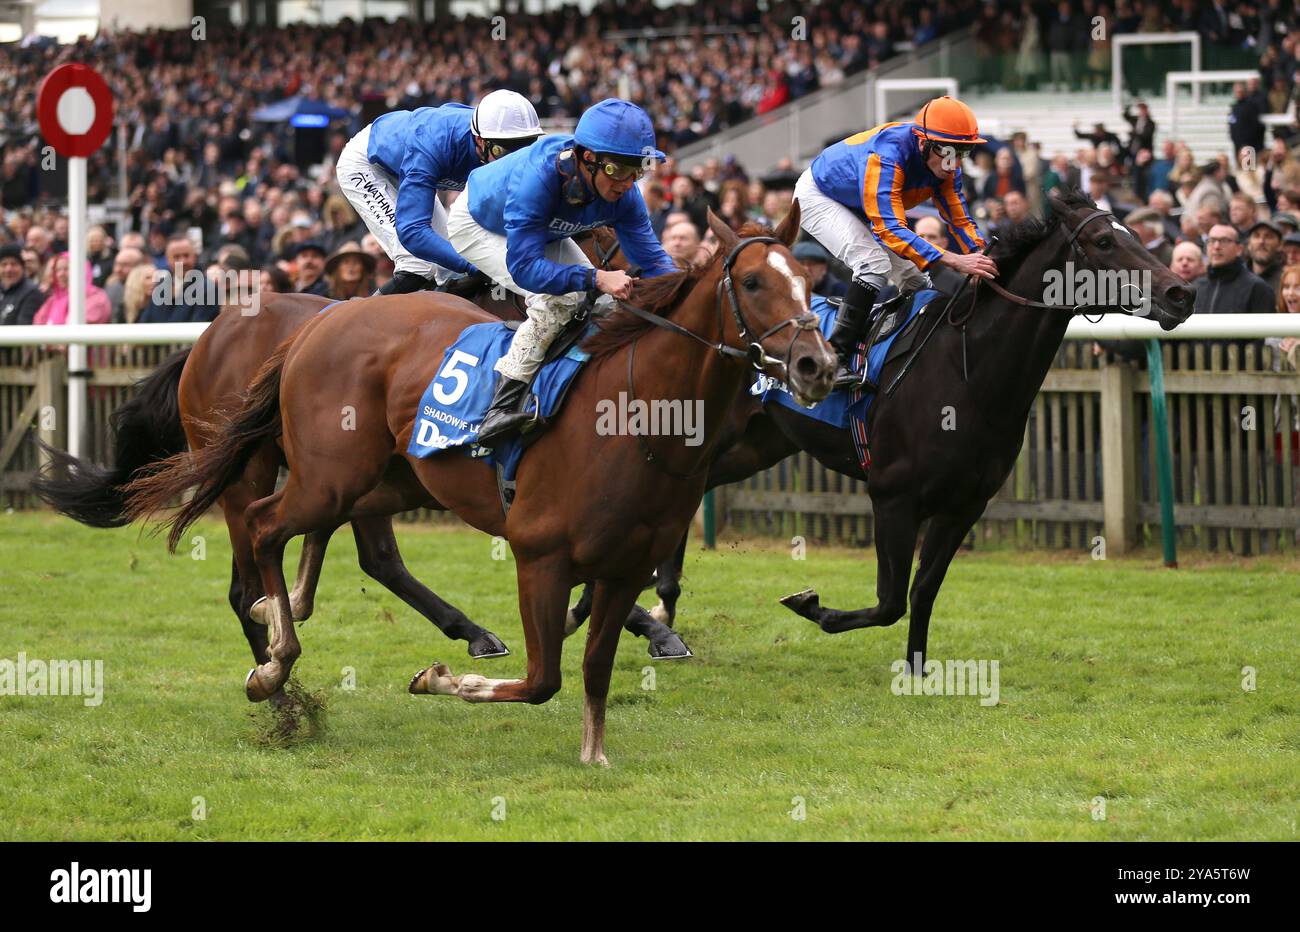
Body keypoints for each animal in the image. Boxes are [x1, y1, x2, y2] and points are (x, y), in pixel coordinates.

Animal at [119, 206, 832, 769]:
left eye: (810, 283)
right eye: (752, 281)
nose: (816, 364)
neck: (637, 409)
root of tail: (312, 327)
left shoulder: (628, 563)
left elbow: (594, 665)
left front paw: (594, 752)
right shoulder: (540, 555)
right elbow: (541, 679)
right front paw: (438, 677)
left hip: (385, 482)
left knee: (331, 551)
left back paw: (285, 624)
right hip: (321, 478)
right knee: (264, 530)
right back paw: (274, 665)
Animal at [566, 187, 1190, 670]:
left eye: (1137, 233)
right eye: (1106, 242)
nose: (1181, 291)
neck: (970, 373)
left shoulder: (965, 504)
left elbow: (923, 591)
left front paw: (917, 671)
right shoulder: (893, 496)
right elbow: (890, 600)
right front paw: (809, 604)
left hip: (746, 448)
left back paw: (646, 609)